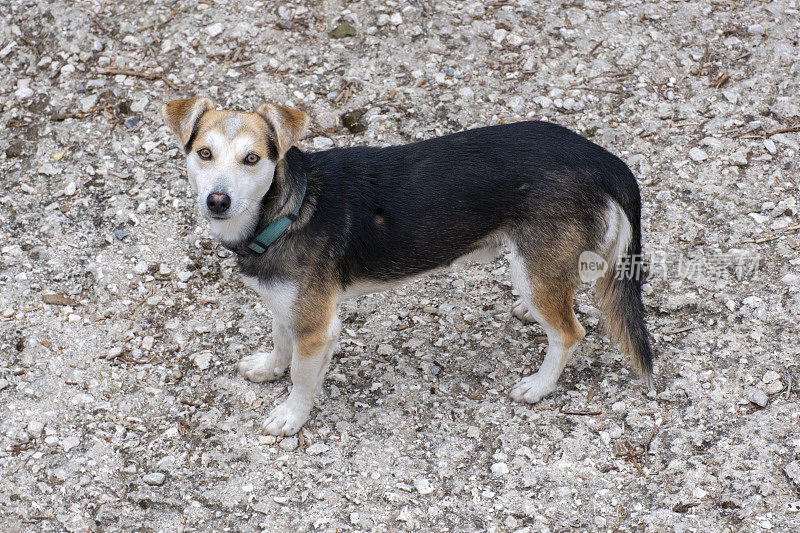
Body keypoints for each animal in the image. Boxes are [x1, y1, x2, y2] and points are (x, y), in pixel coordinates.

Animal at [161, 97, 648, 434]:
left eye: (252, 159)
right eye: (204, 153)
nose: (217, 201)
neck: (286, 208)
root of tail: (600, 157)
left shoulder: (316, 325)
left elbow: (301, 374)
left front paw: (291, 415)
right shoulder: (286, 303)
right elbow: (281, 343)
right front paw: (269, 368)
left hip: (535, 267)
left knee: (569, 332)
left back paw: (540, 384)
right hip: (539, 265)